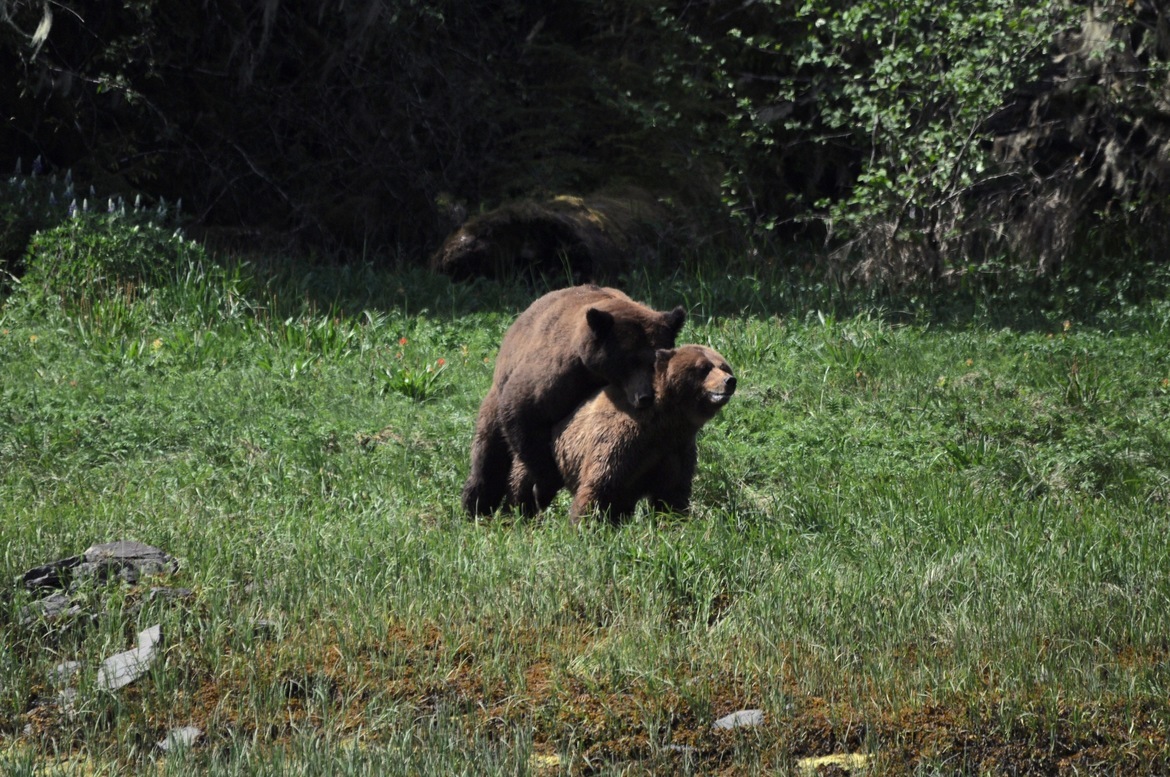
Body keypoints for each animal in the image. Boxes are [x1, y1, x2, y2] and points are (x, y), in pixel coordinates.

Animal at [461, 285, 686, 517]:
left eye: (657, 359)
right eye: (630, 360)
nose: (645, 396)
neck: (594, 373)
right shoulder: (557, 377)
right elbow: (523, 414)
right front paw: (542, 489)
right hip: (496, 395)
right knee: (489, 453)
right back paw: (475, 504)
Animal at [552, 344, 735, 523]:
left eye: (724, 366)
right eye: (704, 367)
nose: (730, 380)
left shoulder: (676, 448)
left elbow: (672, 492)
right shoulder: (619, 438)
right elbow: (600, 483)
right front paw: (585, 522)